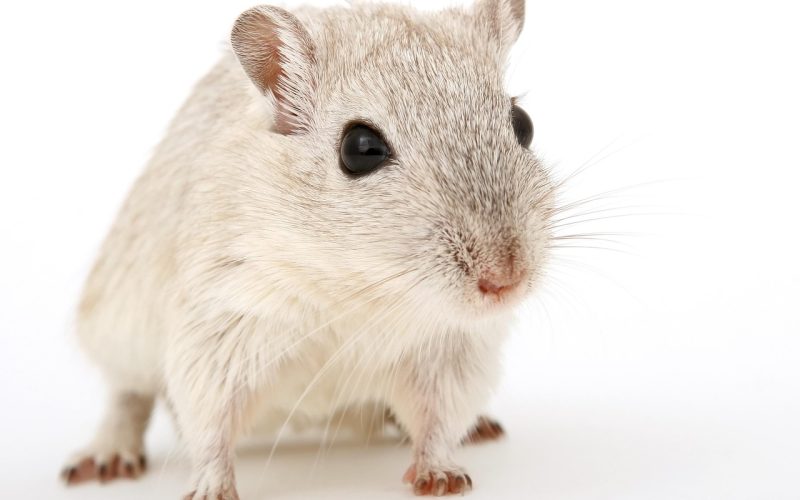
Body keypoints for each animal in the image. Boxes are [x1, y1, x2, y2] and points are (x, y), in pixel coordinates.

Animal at [61, 0, 554, 497]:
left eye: (523, 125)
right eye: (360, 148)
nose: (506, 281)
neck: (362, 285)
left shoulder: (454, 349)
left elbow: (440, 417)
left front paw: (442, 477)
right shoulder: (223, 322)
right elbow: (209, 424)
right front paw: (210, 491)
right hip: (115, 326)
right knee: (128, 393)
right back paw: (103, 459)